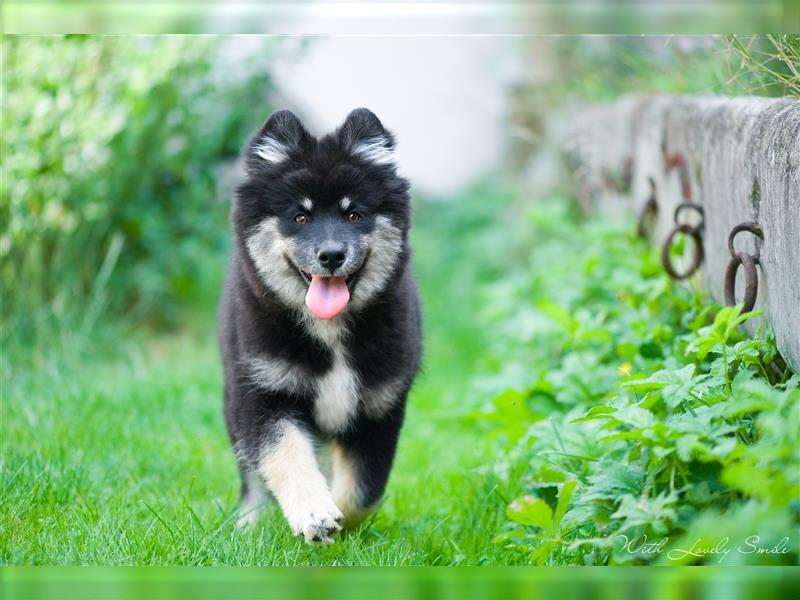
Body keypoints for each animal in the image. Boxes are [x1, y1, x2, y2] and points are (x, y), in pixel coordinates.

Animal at [216, 108, 422, 544]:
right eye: (300, 216)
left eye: (354, 215)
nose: (330, 255)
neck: (330, 333)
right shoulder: (262, 393)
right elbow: (285, 456)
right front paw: (314, 513)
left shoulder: (379, 407)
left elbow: (364, 491)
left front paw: (339, 523)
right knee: (251, 475)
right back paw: (250, 524)